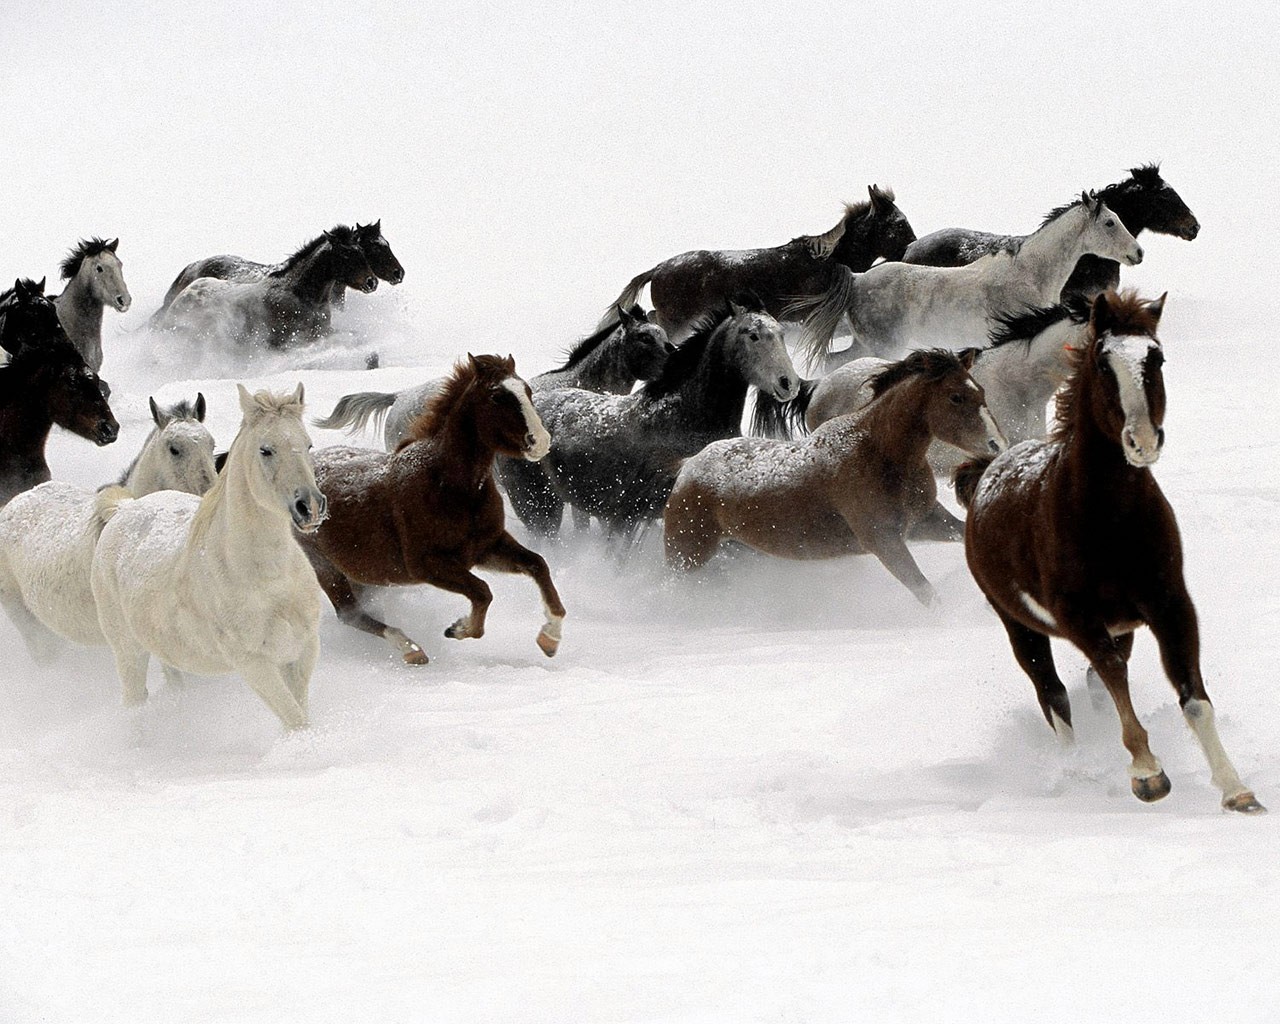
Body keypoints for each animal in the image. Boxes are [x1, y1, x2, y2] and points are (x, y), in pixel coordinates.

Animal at [90, 384, 326, 730]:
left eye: (308, 444)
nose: (309, 506)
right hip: (128, 650)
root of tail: (123, 509)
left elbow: (300, 715)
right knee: (134, 700)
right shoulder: (254, 663)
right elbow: (296, 721)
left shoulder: (303, 650)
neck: (269, 579)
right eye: (265, 450)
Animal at [295, 354, 565, 665]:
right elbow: (483, 592)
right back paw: (411, 649)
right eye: (497, 396)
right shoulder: (428, 565)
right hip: (325, 567)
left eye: (527, 391)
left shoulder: (487, 547)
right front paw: (459, 629)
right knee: (350, 614)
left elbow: (538, 565)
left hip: (362, 574)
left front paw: (550, 638)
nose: (540, 441)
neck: (449, 486)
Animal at [664, 349, 1005, 604]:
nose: (997, 445)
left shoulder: (925, 521)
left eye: (981, 391)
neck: (878, 453)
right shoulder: (884, 540)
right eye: (955, 397)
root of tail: (688, 466)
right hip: (687, 556)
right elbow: (926, 592)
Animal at [796, 192, 1143, 366]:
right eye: (1110, 222)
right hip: (883, 347)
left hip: (866, 345)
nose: (1138, 253)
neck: (1030, 275)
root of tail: (857, 280)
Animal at [956, 290, 1262, 813]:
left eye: (1156, 358)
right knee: (1054, 694)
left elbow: (1192, 695)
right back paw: (1076, 770)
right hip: (1019, 625)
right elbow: (1113, 677)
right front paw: (1148, 774)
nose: (1143, 441)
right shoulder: (1078, 617)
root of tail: (985, 471)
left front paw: (1236, 790)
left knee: (1090, 687)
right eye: (1102, 363)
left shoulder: (1170, 605)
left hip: (1122, 626)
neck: (1110, 521)